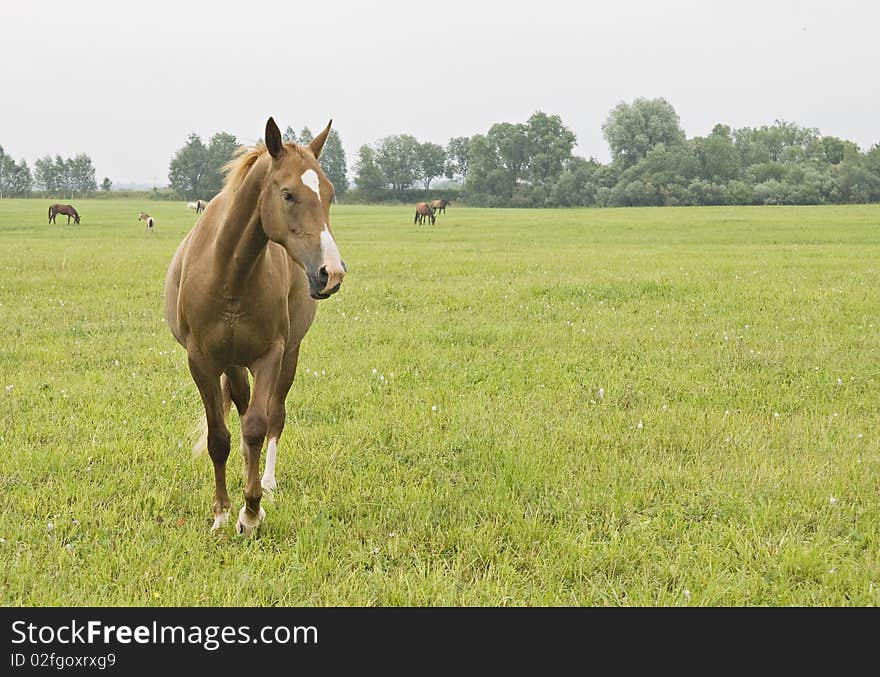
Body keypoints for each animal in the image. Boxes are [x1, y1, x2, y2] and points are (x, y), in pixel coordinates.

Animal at [163, 119, 346, 536]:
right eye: (288, 194)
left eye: (329, 194)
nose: (331, 273)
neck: (230, 273)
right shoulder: (201, 362)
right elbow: (219, 437)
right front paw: (221, 513)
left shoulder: (270, 355)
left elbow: (257, 427)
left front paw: (251, 512)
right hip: (232, 363)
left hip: (288, 355)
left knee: (272, 415)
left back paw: (266, 480)